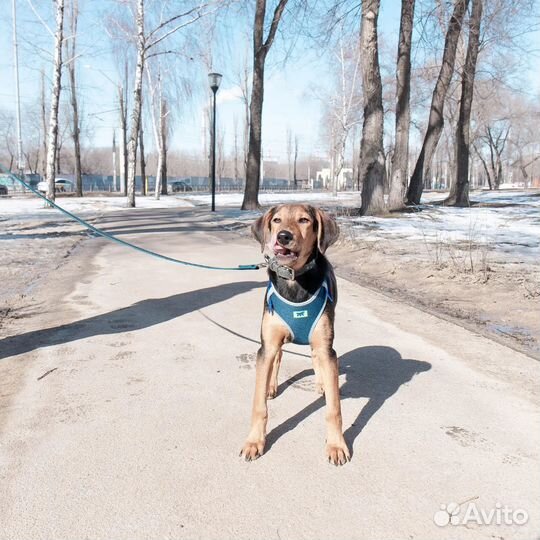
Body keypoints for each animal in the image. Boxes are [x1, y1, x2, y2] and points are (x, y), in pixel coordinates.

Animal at [239, 205, 350, 466]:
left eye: (304, 220)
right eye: (277, 220)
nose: (283, 236)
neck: (294, 279)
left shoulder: (326, 347)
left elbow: (334, 409)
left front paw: (336, 446)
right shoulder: (266, 345)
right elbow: (258, 405)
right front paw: (254, 442)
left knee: (316, 358)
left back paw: (321, 383)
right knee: (278, 357)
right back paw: (271, 385)